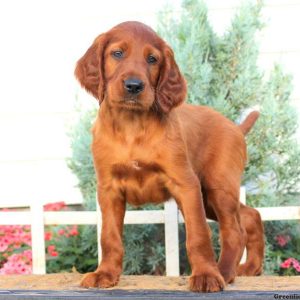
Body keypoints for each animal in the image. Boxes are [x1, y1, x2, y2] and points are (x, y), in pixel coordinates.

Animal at [75, 21, 264, 292]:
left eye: (152, 59)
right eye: (117, 53)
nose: (134, 85)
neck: (132, 126)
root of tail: (236, 127)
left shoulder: (186, 184)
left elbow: (198, 235)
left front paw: (206, 275)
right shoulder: (109, 188)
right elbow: (109, 236)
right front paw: (105, 274)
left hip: (217, 187)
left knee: (234, 230)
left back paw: (223, 271)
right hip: (209, 197)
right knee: (250, 214)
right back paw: (251, 267)